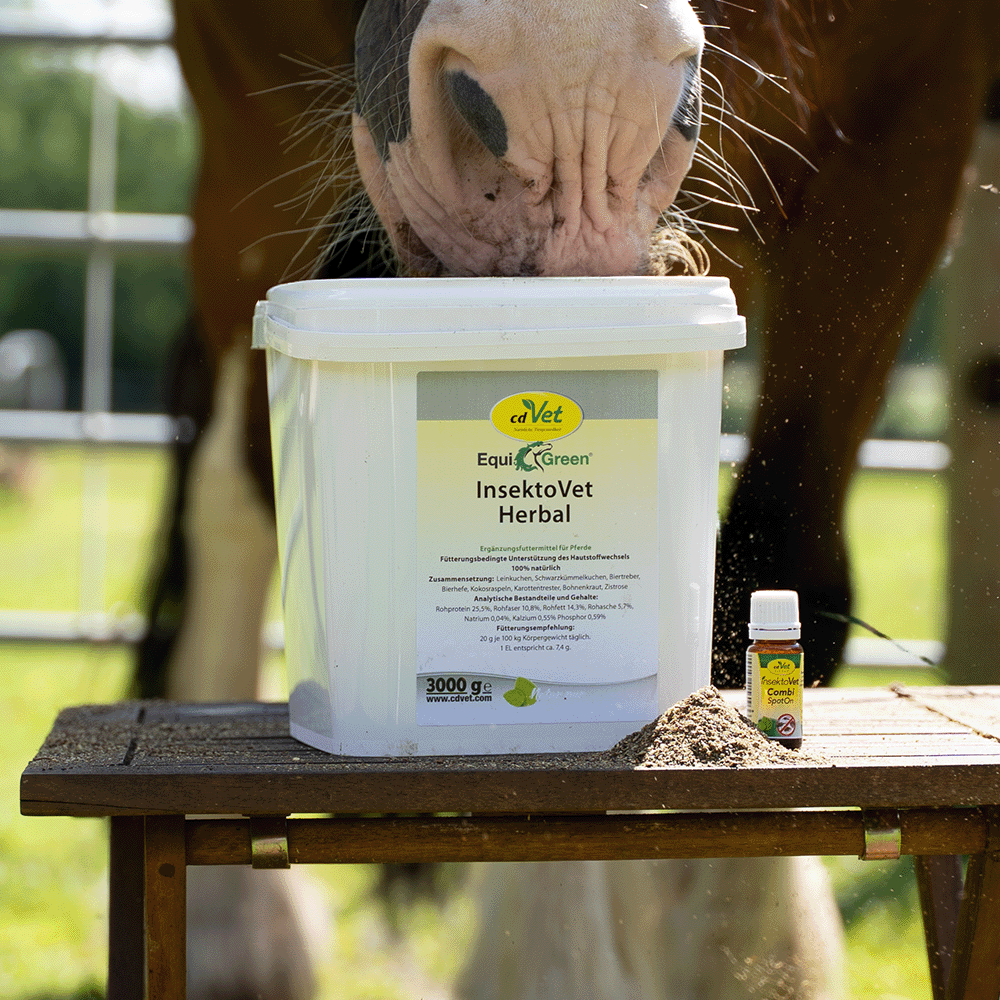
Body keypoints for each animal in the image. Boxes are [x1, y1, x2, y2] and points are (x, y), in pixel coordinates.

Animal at [139, 1, 1000, 997]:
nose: (572, 102)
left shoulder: (910, 116)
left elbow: (779, 567)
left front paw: (745, 946)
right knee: (236, 479)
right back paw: (237, 931)